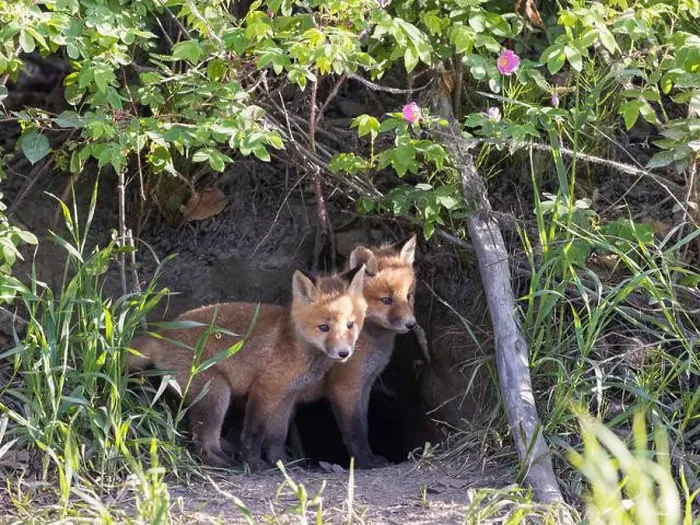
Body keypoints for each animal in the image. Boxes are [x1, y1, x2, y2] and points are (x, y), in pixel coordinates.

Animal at [127, 264, 368, 471]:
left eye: (350, 325)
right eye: (323, 327)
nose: (344, 353)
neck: (295, 345)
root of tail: (162, 334)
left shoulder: (286, 397)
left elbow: (277, 436)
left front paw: (282, 463)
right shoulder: (264, 389)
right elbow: (254, 433)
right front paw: (254, 463)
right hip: (216, 393)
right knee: (204, 441)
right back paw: (227, 464)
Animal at [262, 235, 417, 469]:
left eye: (408, 296)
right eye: (386, 300)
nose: (411, 324)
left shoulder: (364, 386)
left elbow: (363, 425)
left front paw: (370, 458)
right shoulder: (344, 387)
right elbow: (355, 432)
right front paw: (364, 462)